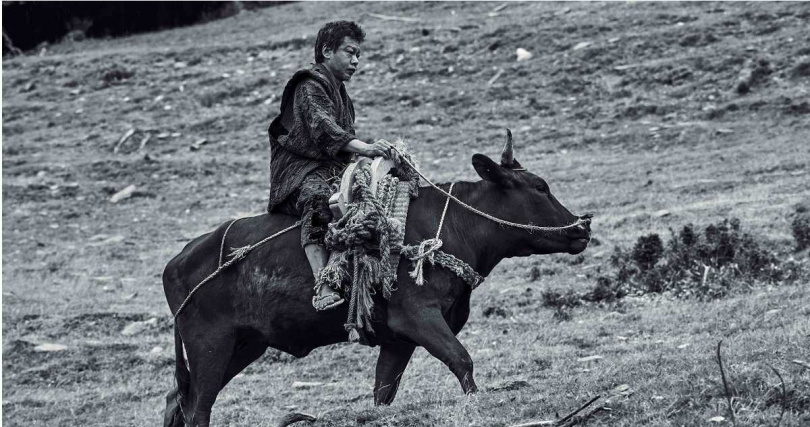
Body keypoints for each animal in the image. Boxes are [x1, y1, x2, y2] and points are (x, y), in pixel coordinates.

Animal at [163, 145, 592, 426]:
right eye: (539, 186)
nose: (582, 227)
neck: (452, 227)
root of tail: (178, 260)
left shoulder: (397, 340)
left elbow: (383, 391)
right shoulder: (418, 317)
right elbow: (462, 361)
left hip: (244, 345)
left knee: (176, 401)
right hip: (210, 345)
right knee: (198, 407)